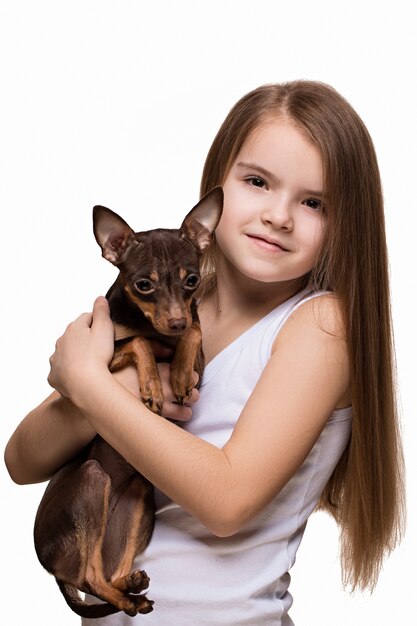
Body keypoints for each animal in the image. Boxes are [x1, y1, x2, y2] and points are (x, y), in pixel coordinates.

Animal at [33, 185, 223, 616]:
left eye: (191, 280)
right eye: (143, 286)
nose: (175, 320)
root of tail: (52, 571)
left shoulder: (198, 353)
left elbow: (194, 334)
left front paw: (178, 372)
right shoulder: (93, 362)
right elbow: (138, 341)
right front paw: (152, 384)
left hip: (138, 500)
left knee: (108, 571)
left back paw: (131, 588)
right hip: (92, 479)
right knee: (89, 577)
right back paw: (123, 596)